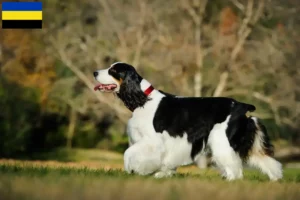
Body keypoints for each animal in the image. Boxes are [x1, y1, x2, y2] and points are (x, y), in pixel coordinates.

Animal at [92, 62, 282, 181]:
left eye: (113, 70)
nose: (94, 72)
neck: (143, 99)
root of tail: (242, 106)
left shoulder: (152, 141)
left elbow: (128, 154)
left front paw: (136, 171)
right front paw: (161, 175)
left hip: (222, 141)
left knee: (235, 169)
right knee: (264, 160)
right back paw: (275, 179)